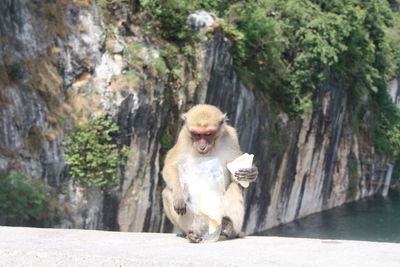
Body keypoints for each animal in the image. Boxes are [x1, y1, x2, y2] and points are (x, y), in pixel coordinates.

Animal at [161, 104, 258, 243]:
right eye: (196, 134)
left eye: (208, 134)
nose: (202, 146)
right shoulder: (183, 137)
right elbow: (170, 166)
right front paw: (179, 195)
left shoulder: (231, 137)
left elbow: (235, 178)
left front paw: (251, 173)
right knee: (167, 192)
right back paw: (193, 234)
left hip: (216, 213)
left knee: (234, 188)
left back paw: (229, 229)